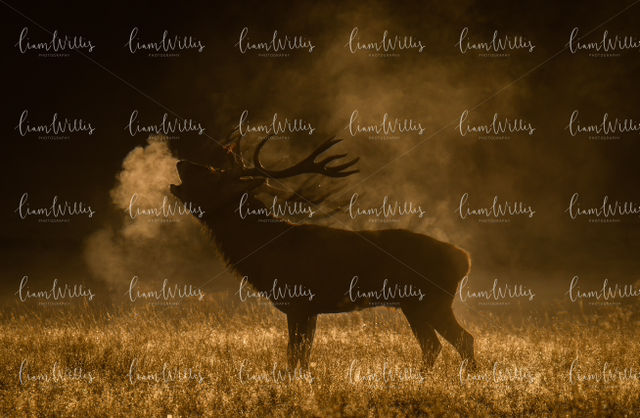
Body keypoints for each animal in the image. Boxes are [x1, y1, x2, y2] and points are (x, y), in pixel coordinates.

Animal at [170, 132, 475, 372]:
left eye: (213, 175)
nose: (180, 162)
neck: (263, 252)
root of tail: (466, 260)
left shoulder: (297, 301)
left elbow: (294, 356)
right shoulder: (312, 309)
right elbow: (304, 357)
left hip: (429, 300)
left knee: (461, 341)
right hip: (415, 305)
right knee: (436, 345)